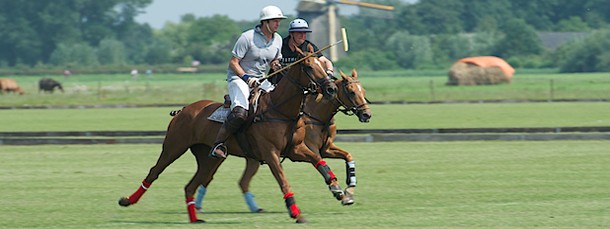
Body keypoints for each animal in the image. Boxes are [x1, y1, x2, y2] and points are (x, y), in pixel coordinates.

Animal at [116, 46, 334, 224]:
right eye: (308, 67)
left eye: (322, 65)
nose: (330, 88)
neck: (280, 111)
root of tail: (183, 110)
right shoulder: (270, 153)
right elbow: (283, 180)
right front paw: (296, 213)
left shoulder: (296, 149)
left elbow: (319, 161)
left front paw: (337, 190)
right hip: (174, 146)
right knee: (155, 172)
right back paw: (127, 200)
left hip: (208, 158)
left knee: (191, 185)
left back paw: (195, 219)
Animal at [194, 68, 370, 213]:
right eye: (351, 92)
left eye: (363, 90)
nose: (367, 114)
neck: (315, 115)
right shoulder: (310, 149)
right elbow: (321, 164)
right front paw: (340, 192)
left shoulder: (325, 148)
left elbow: (348, 156)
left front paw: (349, 192)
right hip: (220, 155)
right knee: (208, 177)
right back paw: (198, 206)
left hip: (249, 158)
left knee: (236, 181)